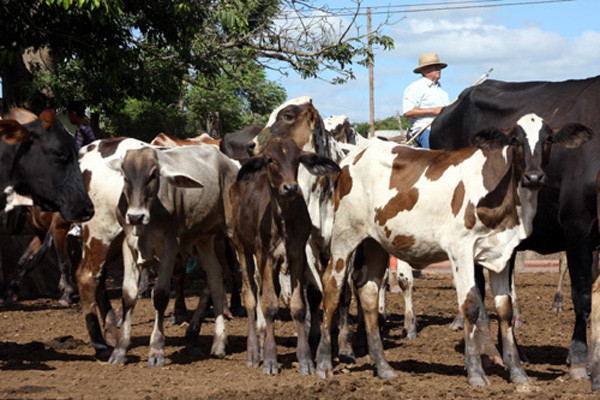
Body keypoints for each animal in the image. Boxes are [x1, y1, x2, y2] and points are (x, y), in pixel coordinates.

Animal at [106, 145, 238, 366]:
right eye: (124, 176)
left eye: (153, 175)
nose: (136, 216)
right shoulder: (129, 245)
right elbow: (128, 295)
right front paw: (119, 350)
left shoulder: (170, 245)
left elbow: (160, 295)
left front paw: (157, 349)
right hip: (205, 239)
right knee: (215, 281)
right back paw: (218, 343)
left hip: (233, 234)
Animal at [316, 115, 592, 384]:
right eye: (515, 139)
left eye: (549, 139)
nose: (534, 177)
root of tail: (351, 158)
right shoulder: (461, 249)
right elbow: (470, 305)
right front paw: (476, 371)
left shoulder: (503, 253)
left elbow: (505, 310)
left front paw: (517, 373)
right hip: (344, 235)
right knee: (333, 286)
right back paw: (324, 363)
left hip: (376, 242)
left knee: (369, 289)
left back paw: (382, 366)